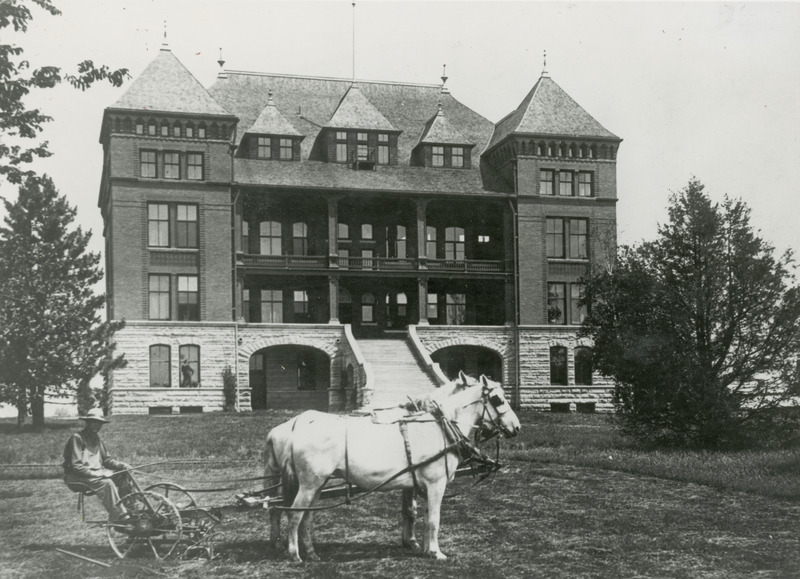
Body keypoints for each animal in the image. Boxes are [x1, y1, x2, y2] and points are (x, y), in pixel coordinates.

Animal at [276, 376, 520, 560]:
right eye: (498, 399)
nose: (516, 427)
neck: (441, 428)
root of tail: (297, 427)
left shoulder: (420, 485)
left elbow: (420, 515)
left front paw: (422, 547)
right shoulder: (436, 484)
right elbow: (434, 518)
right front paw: (436, 552)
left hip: (318, 484)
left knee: (307, 517)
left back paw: (311, 553)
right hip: (309, 484)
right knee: (294, 514)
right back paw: (294, 553)